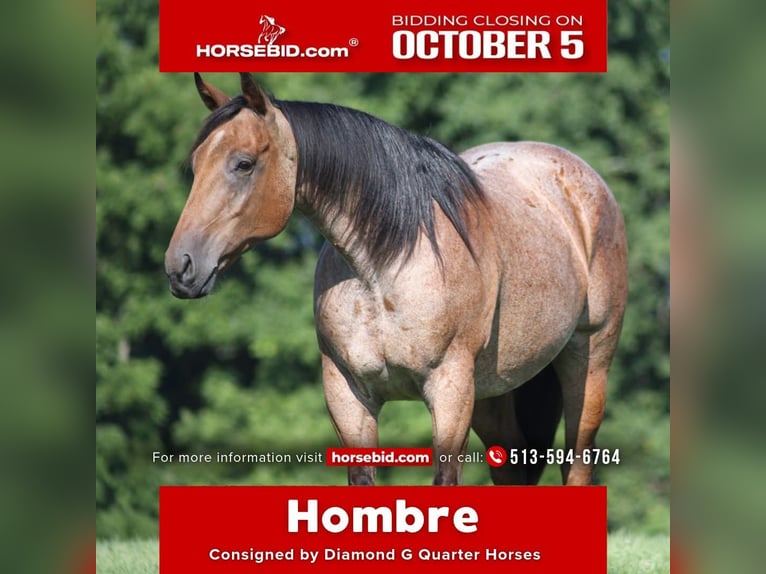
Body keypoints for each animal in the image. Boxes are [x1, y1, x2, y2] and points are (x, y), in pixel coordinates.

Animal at [165, 73, 628, 486]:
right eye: (196, 165)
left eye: (243, 164)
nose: (180, 266)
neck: (383, 267)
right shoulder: (348, 395)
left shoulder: (449, 390)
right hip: (494, 392)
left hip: (588, 364)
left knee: (578, 466)